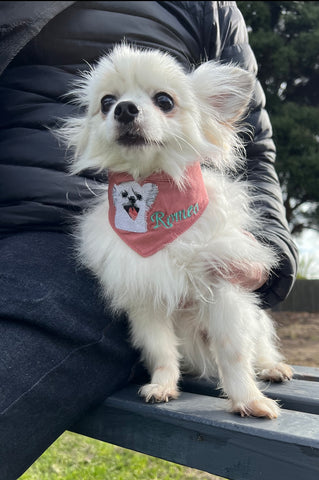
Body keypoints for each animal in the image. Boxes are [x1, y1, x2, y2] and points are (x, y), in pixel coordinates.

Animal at [60, 45, 292, 420]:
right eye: (107, 102)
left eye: (164, 101)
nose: (124, 108)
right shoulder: (146, 297)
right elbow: (162, 350)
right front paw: (163, 385)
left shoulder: (223, 290)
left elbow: (234, 354)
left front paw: (248, 399)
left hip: (255, 319)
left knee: (260, 347)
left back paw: (272, 367)